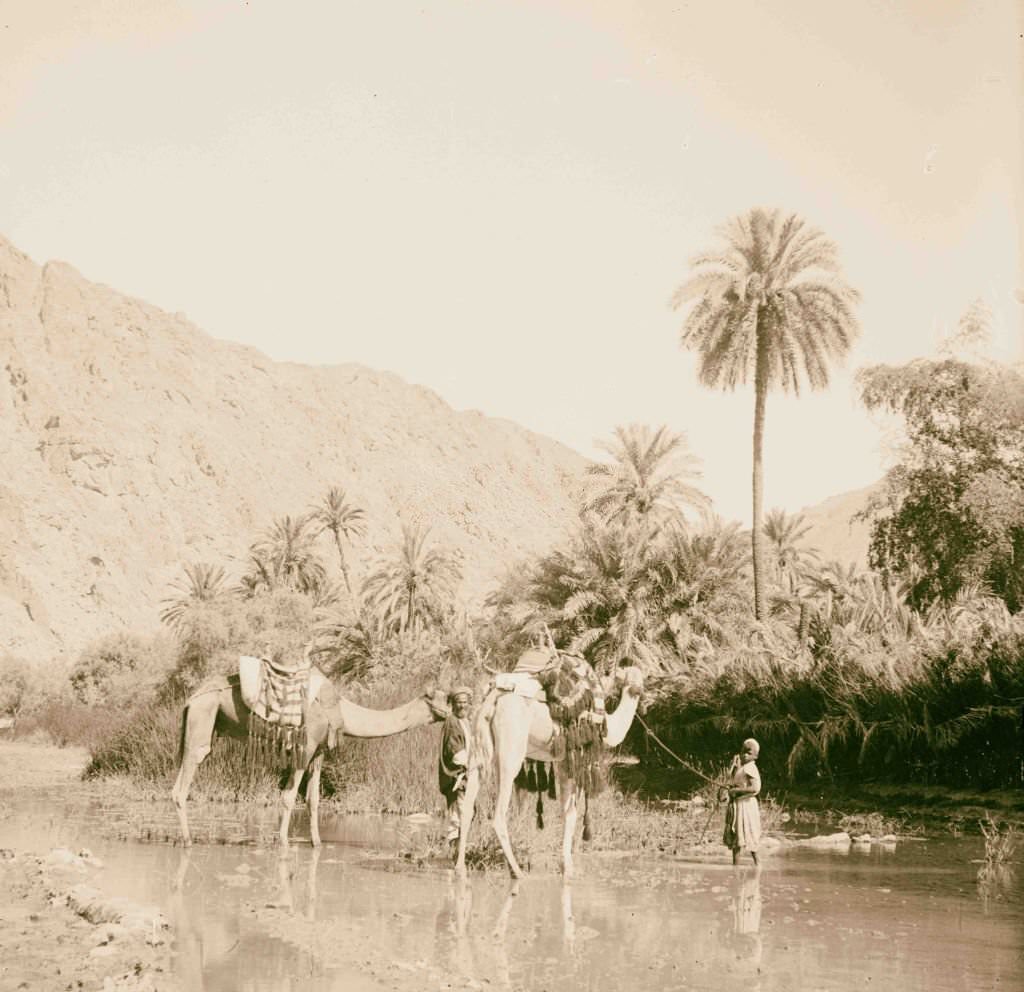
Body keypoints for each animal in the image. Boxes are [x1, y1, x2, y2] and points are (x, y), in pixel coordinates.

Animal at [172, 671, 448, 847]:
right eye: (443, 698)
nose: (454, 708)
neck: (342, 710)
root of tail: (191, 698)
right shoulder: (306, 747)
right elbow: (288, 797)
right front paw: (283, 843)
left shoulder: (319, 752)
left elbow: (313, 800)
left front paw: (316, 843)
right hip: (203, 715)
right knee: (186, 778)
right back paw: (187, 841)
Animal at [458, 663, 643, 880]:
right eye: (633, 676)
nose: (639, 690)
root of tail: (492, 701)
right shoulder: (572, 759)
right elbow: (571, 813)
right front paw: (568, 868)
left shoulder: (562, 762)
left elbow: (567, 811)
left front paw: (566, 864)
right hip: (510, 752)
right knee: (499, 814)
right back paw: (517, 871)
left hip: (478, 749)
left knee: (467, 807)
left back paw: (460, 869)